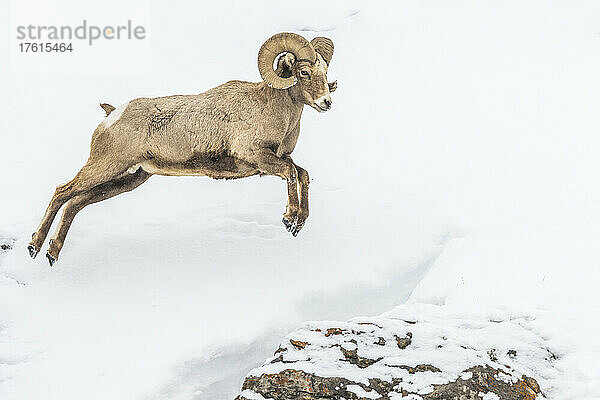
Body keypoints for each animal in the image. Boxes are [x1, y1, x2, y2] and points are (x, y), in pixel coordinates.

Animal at [28, 32, 338, 266]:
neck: (275, 111)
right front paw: (289, 218)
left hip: (128, 179)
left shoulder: (278, 159)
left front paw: (298, 223)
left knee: (75, 203)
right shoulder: (259, 158)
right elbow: (292, 173)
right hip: (104, 167)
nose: (326, 103)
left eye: (325, 72)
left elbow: (302, 174)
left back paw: (51, 253)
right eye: (304, 72)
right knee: (63, 192)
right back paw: (34, 246)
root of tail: (112, 114)